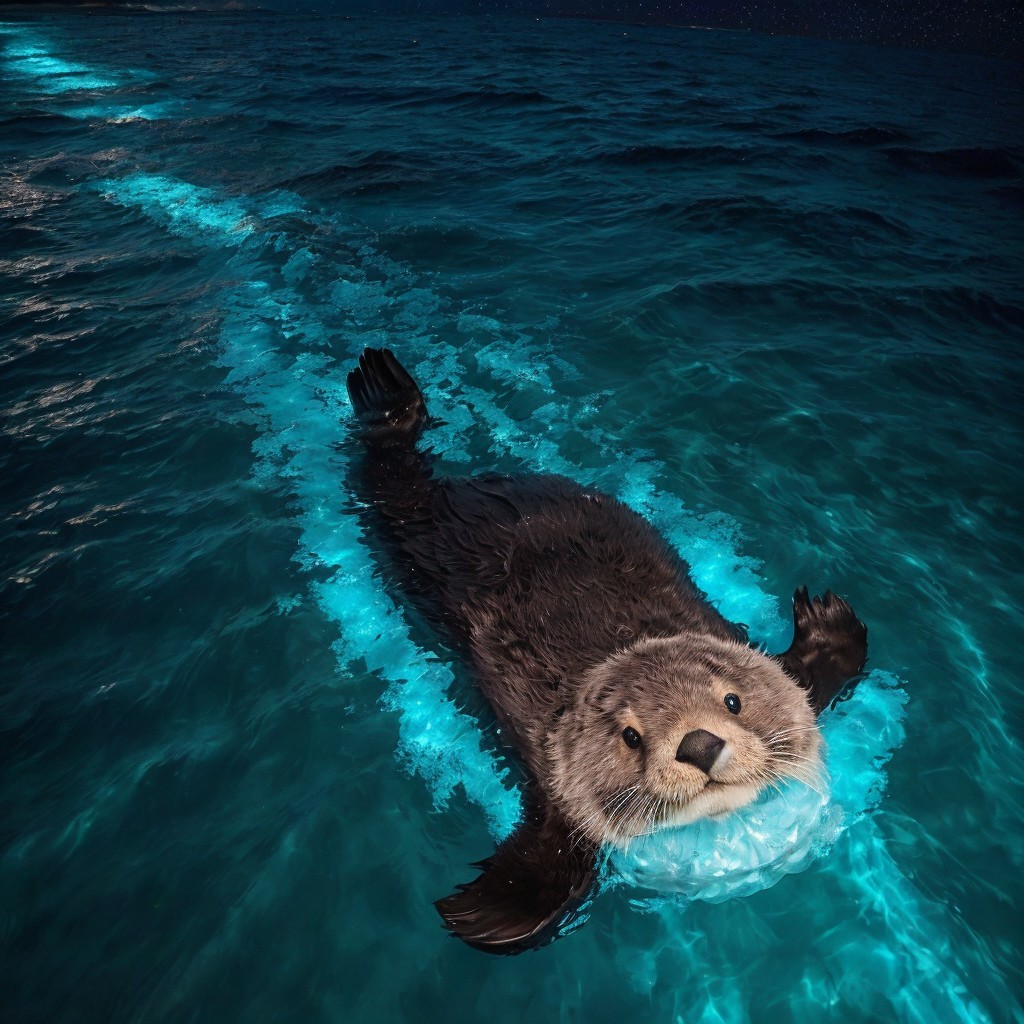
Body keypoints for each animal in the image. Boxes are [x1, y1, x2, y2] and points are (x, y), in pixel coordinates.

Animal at [346, 348, 867, 955]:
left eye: (733, 702)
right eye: (631, 736)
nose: (699, 744)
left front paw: (827, 619)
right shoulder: (550, 771)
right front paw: (488, 913)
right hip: (410, 532)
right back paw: (383, 387)